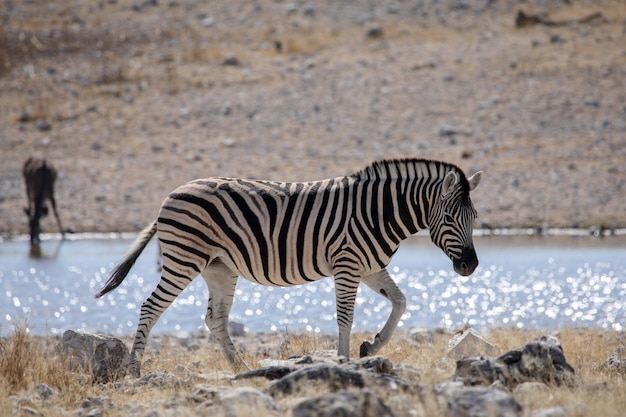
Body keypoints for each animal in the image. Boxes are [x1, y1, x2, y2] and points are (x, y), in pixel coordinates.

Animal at [95, 158, 480, 376]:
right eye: (449, 218)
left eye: (475, 218)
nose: (470, 266)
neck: (378, 212)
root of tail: (171, 194)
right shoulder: (348, 264)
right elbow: (345, 317)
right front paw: (344, 362)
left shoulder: (370, 267)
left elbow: (400, 302)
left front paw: (372, 346)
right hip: (183, 259)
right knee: (150, 307)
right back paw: (134, 370)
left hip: (219, 267)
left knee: (215, 319)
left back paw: (239, 368)